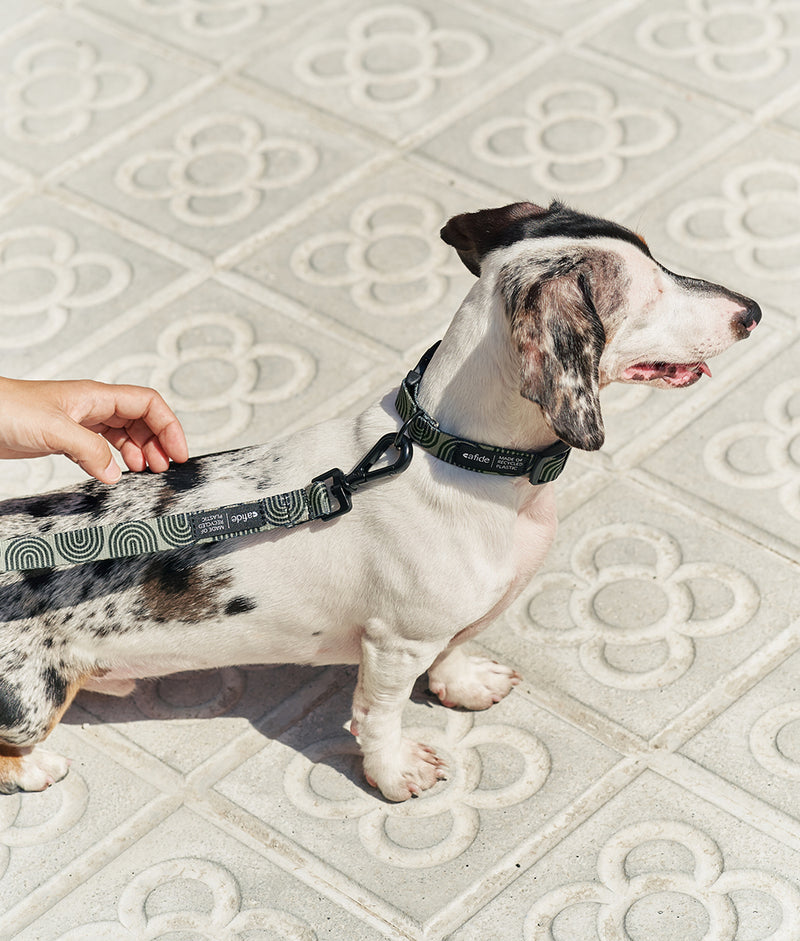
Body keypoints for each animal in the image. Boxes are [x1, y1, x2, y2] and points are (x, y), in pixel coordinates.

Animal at [0, 200, 764, 800]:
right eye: (646, 294)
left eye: (657, 257)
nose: (753, 312)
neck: (456, 455)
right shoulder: (396, 642)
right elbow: (381, 713)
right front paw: (397, 772)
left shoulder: (447, 624)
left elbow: (459, 646)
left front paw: (466, 681)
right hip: (33, 700)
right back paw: (36, 770)